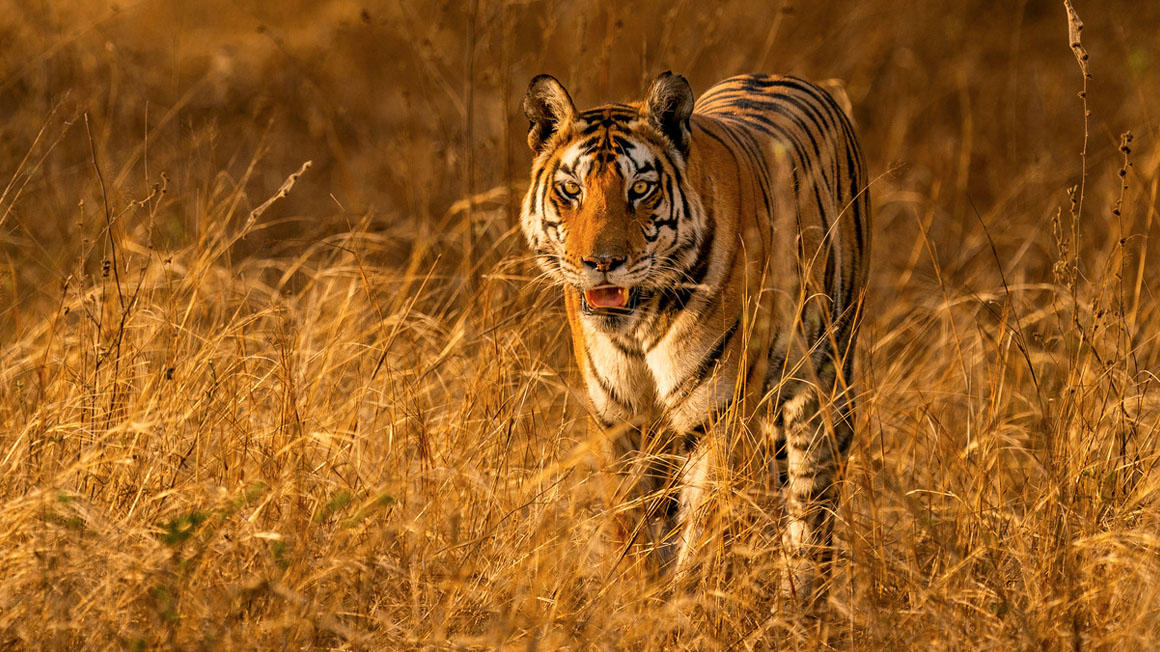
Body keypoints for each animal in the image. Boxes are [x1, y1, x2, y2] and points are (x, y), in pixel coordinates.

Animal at [520, 71, 870, 601]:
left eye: (641, 189)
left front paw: (684, 608)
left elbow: (702, 536)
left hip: (824, 389)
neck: (641, 323)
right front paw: (639, 602)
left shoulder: (715, 419)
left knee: (809, 516)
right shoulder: (619, 419)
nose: (602, 263)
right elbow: (634, 531)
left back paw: (797, 604)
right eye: (571, 189)